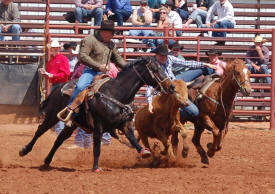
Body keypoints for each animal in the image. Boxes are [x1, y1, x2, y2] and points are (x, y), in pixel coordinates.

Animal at [19, 56, 175, 172]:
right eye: (155, 69)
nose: (171, 87)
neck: (116, 94)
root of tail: (58, 88)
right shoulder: (98, 127)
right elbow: (97, 148)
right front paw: (95, 168)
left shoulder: (125, 125)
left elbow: (133, 139)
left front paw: (144, 152)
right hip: (52, 116)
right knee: (40, 130)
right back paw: (24, 150)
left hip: (72, 124)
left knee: (59, 139)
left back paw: (47, 161)